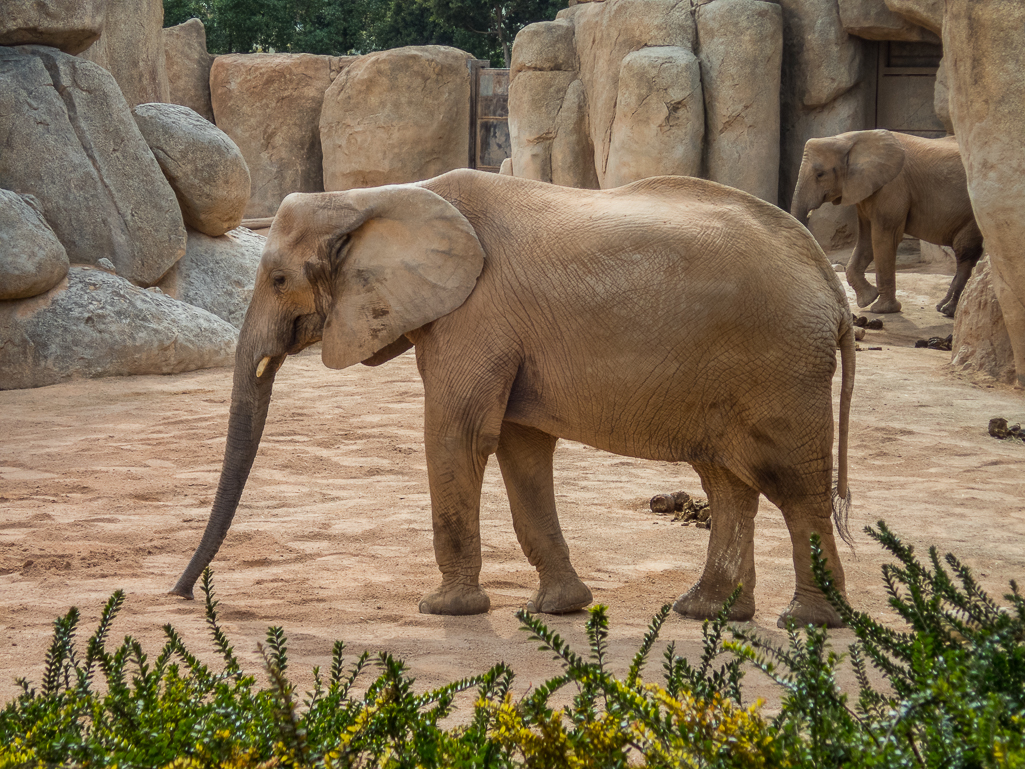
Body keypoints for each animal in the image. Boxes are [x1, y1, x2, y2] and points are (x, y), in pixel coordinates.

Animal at [170, 170, 856, 631]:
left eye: (279, 279)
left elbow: (458, 433)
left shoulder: (475, 317)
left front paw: (443, 609)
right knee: (727, 480)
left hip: (781, 366)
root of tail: (828, 276)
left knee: (791, 484)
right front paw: (559, 608)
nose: (180, 595)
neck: (377, 196)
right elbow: (520, 448)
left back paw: (809, 621)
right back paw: (707, 612)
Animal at [787, 131, 979, 317]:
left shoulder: (892, 187)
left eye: (820, 174)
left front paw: (882, 309)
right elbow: (866, 240)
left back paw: (948, 310)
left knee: (965, 252)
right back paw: (942, 307)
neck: (850, 138)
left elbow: (883, 237)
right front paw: (868, 299)